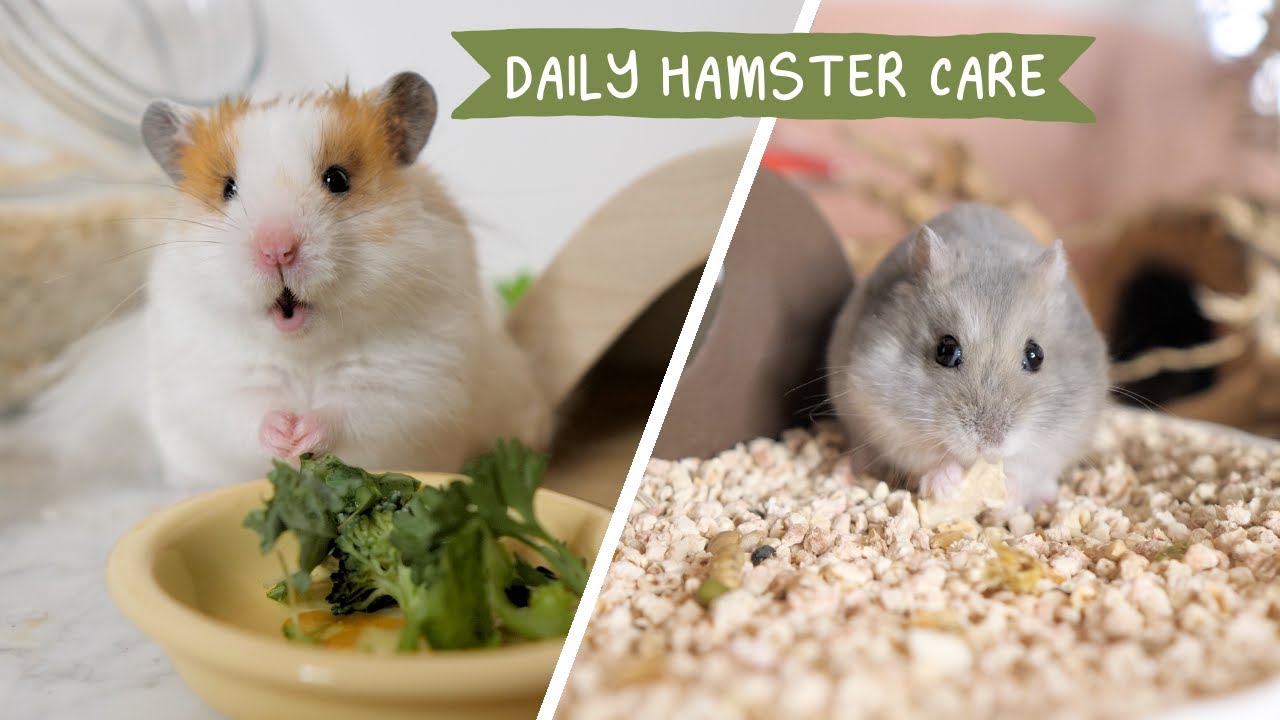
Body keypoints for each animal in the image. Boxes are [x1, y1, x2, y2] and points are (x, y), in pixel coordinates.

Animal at [6, 72, 551, 489]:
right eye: (228, 188)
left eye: (337, 179)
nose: (276, 249)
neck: (303, 348)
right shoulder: (214, 375)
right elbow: (247, 410)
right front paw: (283, 437)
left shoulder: (412, 376)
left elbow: (353, 409)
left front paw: (302, 435)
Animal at [825, 202, 1108, 510]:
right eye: (946, 351)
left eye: (1036, 356)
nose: (989, 444)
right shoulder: (881, 415)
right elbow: (927, 458)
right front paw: (946, 483)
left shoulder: (1062, 436)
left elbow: (1026, 467)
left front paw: (1008, 488)